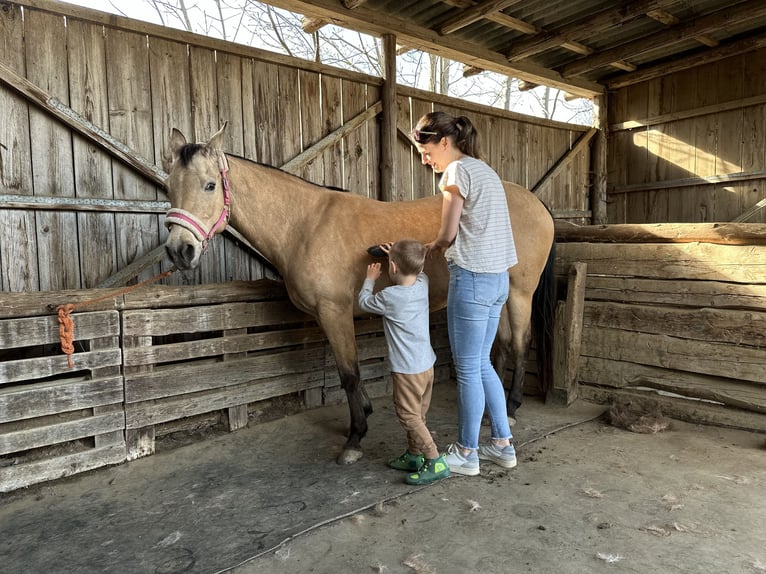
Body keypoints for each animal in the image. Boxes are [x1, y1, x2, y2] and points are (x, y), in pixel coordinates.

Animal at [165, 124, 556, 466]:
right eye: (169, 187)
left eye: (210, 185)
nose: (179, 251)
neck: (305, 225)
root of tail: (536, 202)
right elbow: (348, 373)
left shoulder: (334, 312)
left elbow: (349, 374)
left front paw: (355, 438)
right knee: (501, 346)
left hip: (521, 293)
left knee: (520, 343)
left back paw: (513, 407)